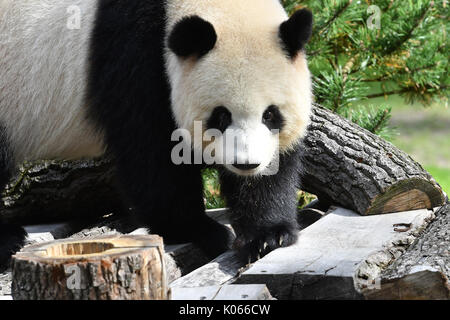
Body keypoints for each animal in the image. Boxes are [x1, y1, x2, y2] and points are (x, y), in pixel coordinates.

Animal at [0, 0, 312, 268]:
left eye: (270, 114)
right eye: (221, 115)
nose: (247, 164)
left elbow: (275, 166)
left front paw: (267, 235)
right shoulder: (134, 55)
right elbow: (151, 155)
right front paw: (198, 230)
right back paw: (8, 239)